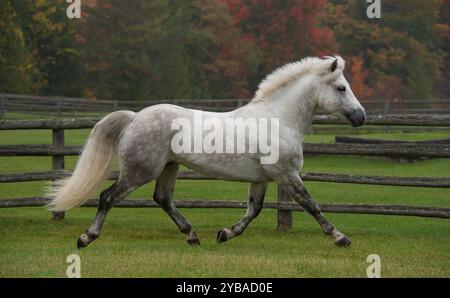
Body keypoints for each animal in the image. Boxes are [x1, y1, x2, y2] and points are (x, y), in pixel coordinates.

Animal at [47, 56, 366, 247]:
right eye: (341, 87)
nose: (360, 117)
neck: (278, 119)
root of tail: (135, 117)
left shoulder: (262, 179)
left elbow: (254, 210)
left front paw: (225, 233)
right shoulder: (286, 175)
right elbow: (310, 205)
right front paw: (341, 238)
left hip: (169, 168)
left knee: (162, 199)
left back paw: (192, 236)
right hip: (140, 171)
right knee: (107, 197)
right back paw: (86, 238)